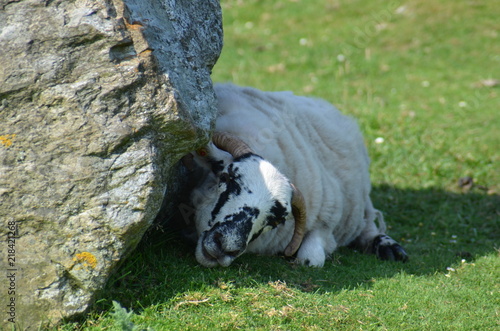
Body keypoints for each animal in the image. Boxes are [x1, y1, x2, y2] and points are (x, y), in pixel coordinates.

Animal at [186, 83, 408, 268]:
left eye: (275, 221)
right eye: (227, 178)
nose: (226, 247)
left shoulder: (327, 221)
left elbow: (310, 260)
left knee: (368, 224)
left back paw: (389, 248)